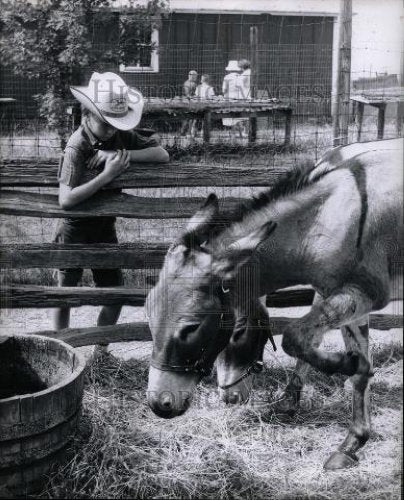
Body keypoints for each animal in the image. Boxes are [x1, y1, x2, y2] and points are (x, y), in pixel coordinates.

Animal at [147, 140, 402, 468]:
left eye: (192, 327)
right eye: (150, 315)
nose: (159, 404)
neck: (330, 213)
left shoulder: (364, 292)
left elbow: (294, 337)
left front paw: (347, 364)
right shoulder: (340, 293)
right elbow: (346, 364)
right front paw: (351, 442)